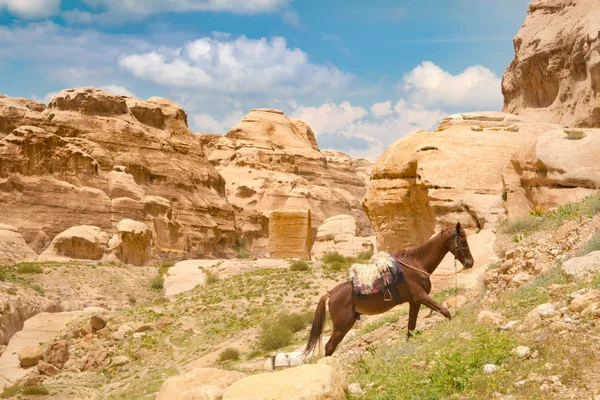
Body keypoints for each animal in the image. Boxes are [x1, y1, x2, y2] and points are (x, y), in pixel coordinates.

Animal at [304, 222, 474, 356]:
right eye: (462, 239)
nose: (470, 262)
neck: (416, 265)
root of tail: (330, 293)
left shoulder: (415, 302)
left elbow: (411, 328)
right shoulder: (421, 296)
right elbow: (445, 311)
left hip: (348, 322)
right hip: (341, 325)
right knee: (329, 347)